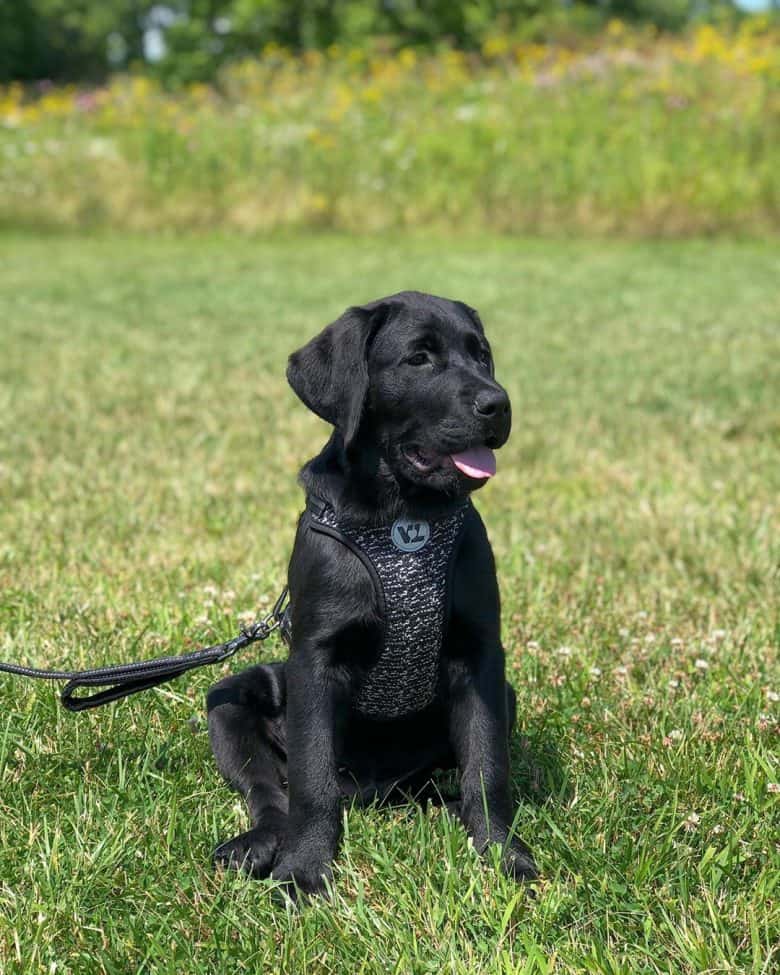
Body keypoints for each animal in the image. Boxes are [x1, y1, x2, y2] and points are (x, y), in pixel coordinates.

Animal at [204, 292, 540, 900]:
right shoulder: (315, 659)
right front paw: (305, 869)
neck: (404, 517)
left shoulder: (482, 656)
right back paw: (259, 844)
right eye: (419, 358)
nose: (498, 404)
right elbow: (310, 779)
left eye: (482, 355)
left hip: (501, 698)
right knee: (270, 792)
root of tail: (369, 791)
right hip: (230, 700)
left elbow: (486, 767)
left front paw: (502, 855)